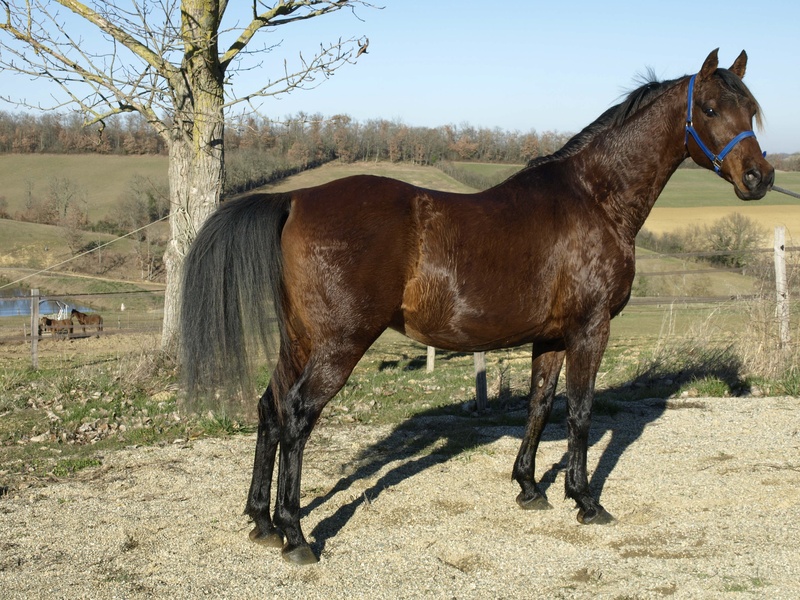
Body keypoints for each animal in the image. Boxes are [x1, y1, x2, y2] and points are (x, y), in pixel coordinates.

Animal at [180, 49, 774, 565]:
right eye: (710, 109)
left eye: (751, 109)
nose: (759, 178)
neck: (594, 199)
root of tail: (295, 198)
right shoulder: (590, 329)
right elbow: (580, 412)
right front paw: (586, 501)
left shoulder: (551, 336)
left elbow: (540, 405)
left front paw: (530, 487)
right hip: (337, 345)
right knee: (298, 415)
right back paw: (295, 534)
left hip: (300, 339)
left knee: (270, 409)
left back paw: (260, 521)